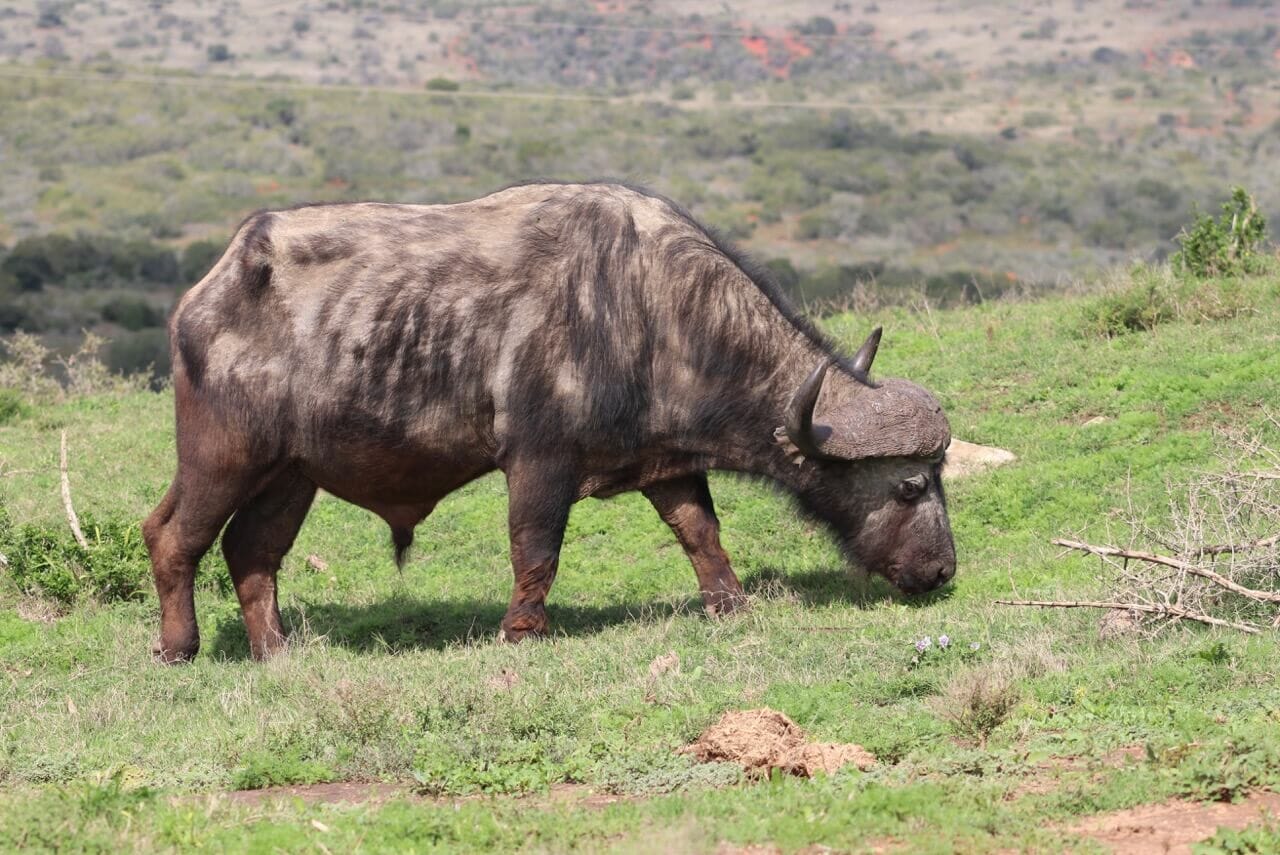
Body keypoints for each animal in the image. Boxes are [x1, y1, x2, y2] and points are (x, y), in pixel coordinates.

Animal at [145, 181, 957, 660]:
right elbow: (536, 549)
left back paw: (277, 650)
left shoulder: (666, 465)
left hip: (291, 474)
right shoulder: (539, 461)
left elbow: (701, 533)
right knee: (172, 537)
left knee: (252, 551)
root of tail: (209, 289)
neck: (649, 307)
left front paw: (729, 604)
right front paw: (523, 630)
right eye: (911, 485)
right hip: (222, 457)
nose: (944, 570)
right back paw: (179, 646)